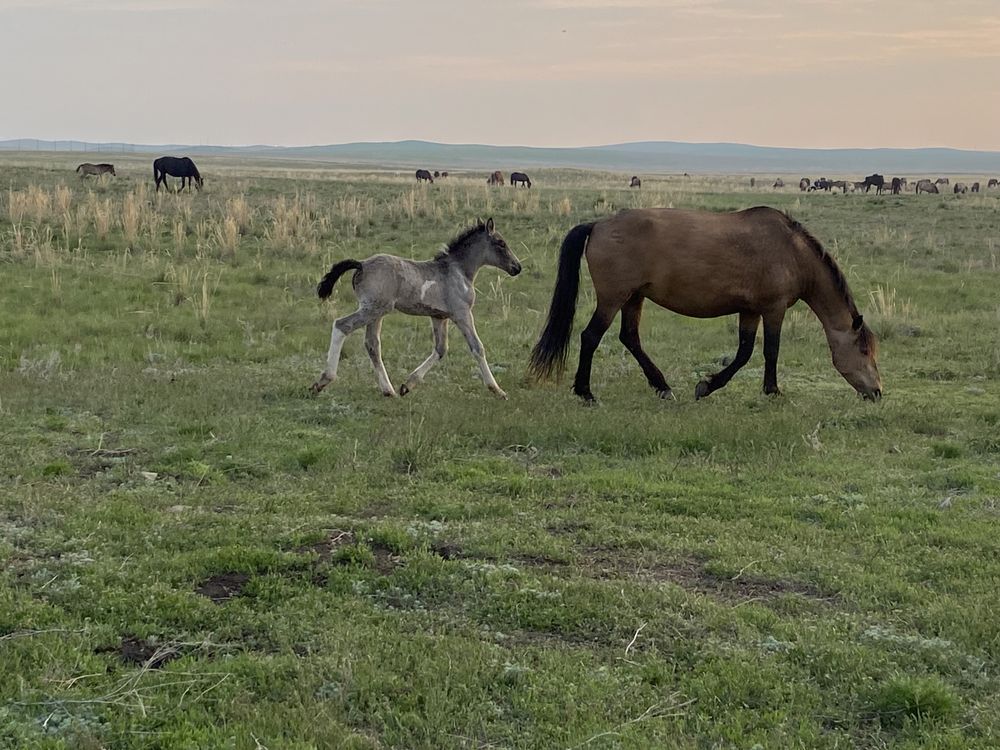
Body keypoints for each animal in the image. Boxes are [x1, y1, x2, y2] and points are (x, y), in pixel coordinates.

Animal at [528, 206, 880, 406]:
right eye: (864, 351)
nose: (877, 392)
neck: (791, 252)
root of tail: (598, 224)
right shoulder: (773, 309)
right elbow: (769, 351)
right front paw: (771, 390)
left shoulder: (749, 310)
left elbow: (744, 352)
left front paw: (708, 385)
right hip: (613, 298)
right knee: (590, 337)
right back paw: (585, 393)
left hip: (634, 298)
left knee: (629, 337)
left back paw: (662, 387)